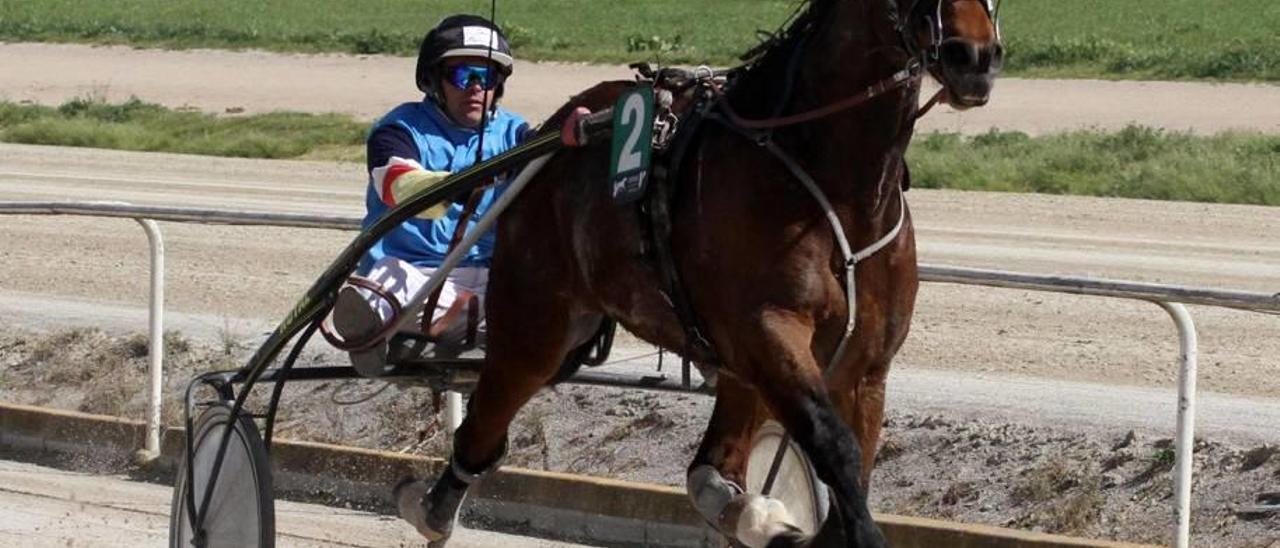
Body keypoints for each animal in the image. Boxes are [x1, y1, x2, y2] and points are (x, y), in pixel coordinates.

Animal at [396, 0, 998, 545]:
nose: (974, 54)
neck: (839, 190)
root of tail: (558, 131)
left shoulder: (865, 364)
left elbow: (855, 466)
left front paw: (778, 520)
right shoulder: (769, 328)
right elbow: (837, 449)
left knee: (712, 464)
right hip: (537, 322)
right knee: (484, 425)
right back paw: (432, 508)